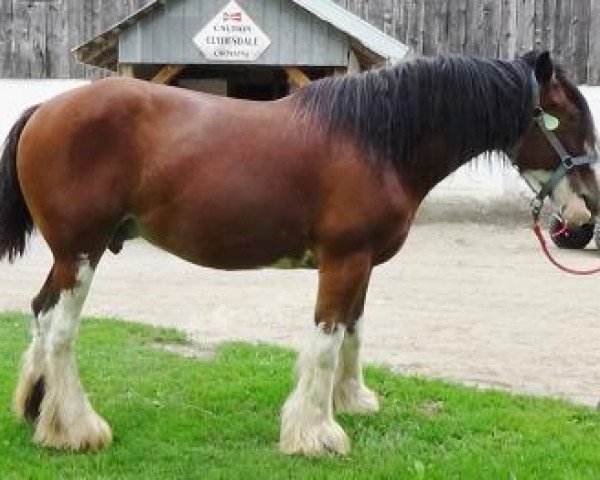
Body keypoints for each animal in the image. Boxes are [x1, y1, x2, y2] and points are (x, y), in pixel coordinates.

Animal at [0, 50, 596, 456]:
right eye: (566, 117)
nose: (586, 211)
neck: (375, 141)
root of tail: (46, 108)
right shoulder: (344, 260)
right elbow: (328, 341)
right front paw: (316, 433)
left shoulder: (360, 265)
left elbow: (354, 332)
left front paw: (350, 402)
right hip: (81, 253)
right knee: (60, 330)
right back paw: (77, 428)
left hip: (69, 256)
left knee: (40, 313)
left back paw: (38, 409)